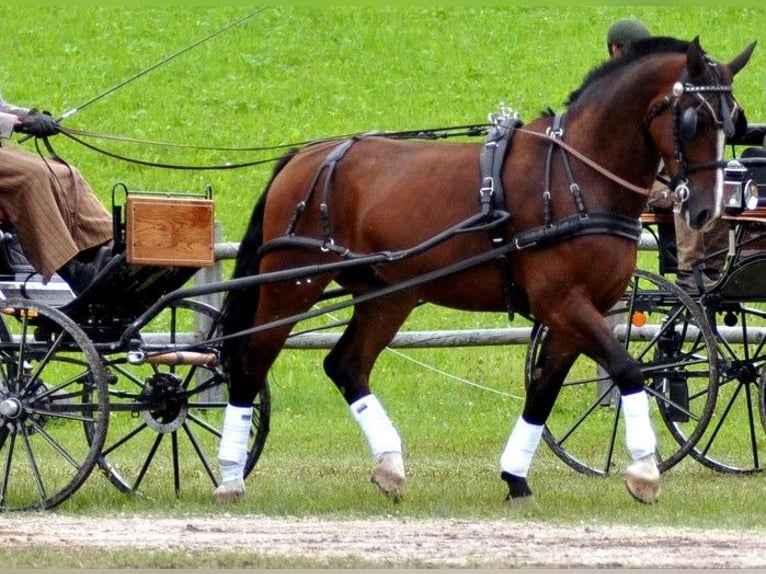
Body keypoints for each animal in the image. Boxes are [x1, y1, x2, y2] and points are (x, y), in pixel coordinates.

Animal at [214, 35, 756, 504]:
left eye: (732, 121)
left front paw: (515, 477)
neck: (577, 176)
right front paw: (644, 472)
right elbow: (626, 368)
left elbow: (544, 390)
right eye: (692, 121)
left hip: (389, 294)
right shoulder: (563, 302)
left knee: (346, 364)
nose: (705, 211)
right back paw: (230, 477)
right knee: (250, 360)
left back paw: (389, 466)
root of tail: (305, 156)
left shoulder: (574, 313)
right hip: (291, 283)